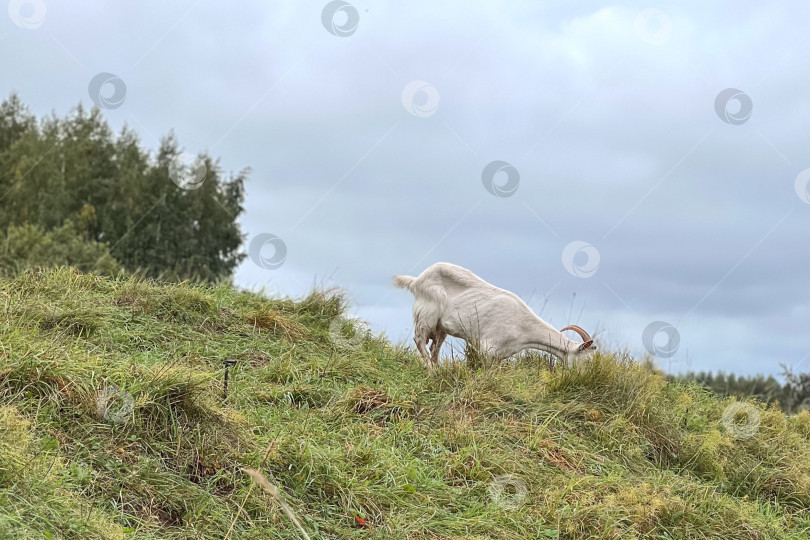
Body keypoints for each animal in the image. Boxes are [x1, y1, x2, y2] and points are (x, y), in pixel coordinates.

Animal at [392, 264, 592, 370]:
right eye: (587, 359)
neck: (524, 328)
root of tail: (416, 281)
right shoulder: (488, 348)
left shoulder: (499, 355)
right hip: (427, 316)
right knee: (419, 340)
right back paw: (430, 369)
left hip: (441, 327)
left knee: (435, 347)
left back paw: (437, 368)